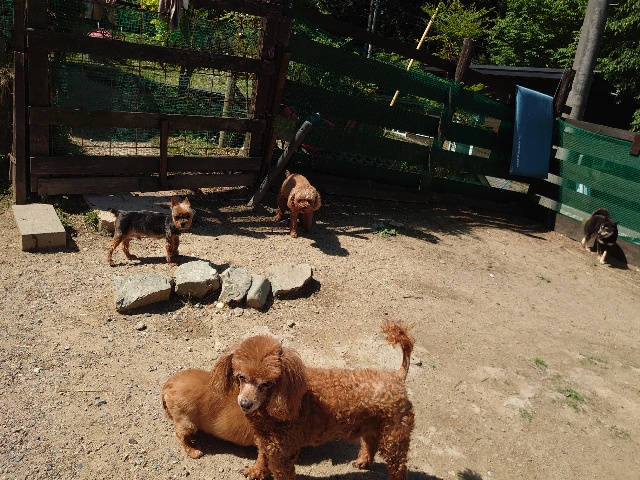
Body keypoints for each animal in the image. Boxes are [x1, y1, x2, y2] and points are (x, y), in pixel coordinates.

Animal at [218, 322, 415, 480]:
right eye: (241, 377)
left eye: (267, 384)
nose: (245, 404)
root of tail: (397, 377)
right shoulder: (266, 441)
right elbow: (262, 458)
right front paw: (256, 472)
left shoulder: (283, 452)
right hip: (371, 425)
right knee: (370, 442)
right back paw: (363, 461)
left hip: (394, 437)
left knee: (399, 468)